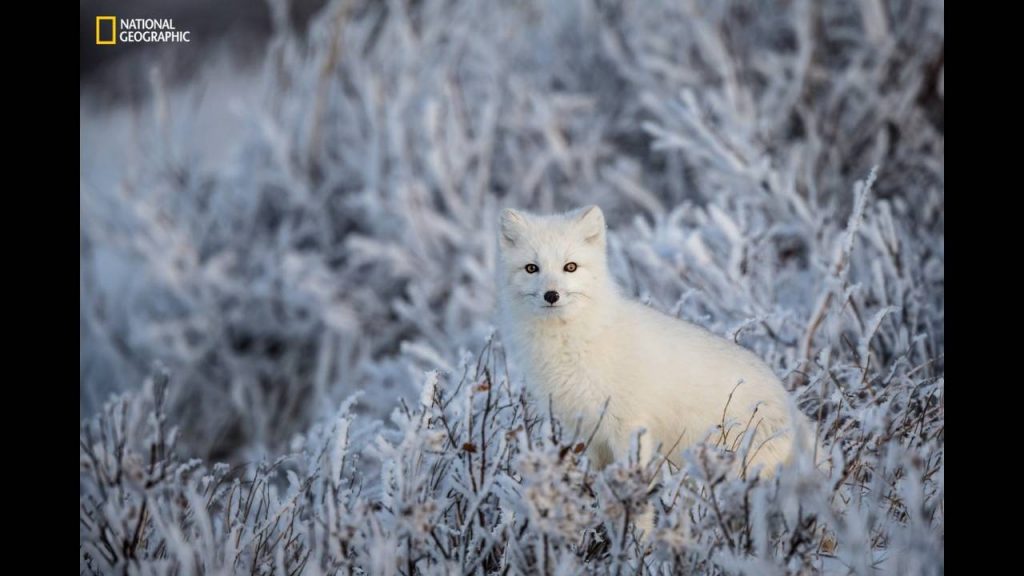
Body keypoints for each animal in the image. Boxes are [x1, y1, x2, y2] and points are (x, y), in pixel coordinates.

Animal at [495, 206, 815, 479]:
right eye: (532, 268)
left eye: (570, 267)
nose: (552, 295)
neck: (571, 343)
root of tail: (792, 406)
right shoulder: (585, 433)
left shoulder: (627, 426)